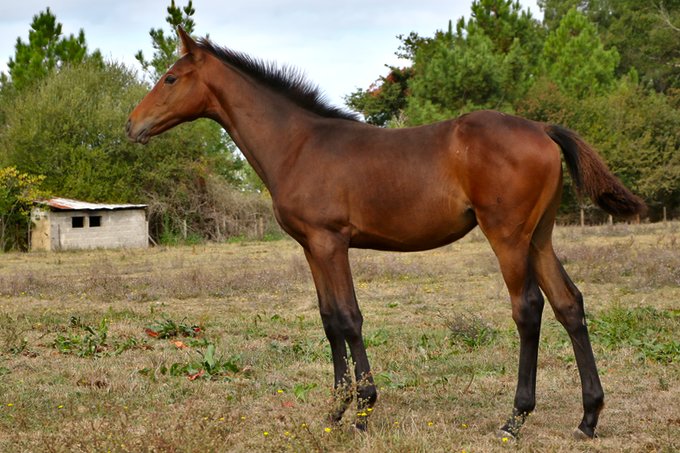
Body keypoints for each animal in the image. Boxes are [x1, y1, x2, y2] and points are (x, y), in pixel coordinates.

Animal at [127, 27, 646, 439]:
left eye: (171, 78)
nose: (132, 125)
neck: (298, 144)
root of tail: (541, 128)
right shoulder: (312, 247)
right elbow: (328, 319)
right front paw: (336, 410)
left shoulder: (331, 242)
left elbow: (349, 318)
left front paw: (362, 411)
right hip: (539, 238)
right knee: (569, 304)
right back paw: (588, 419)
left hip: (509, 238)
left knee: (529, 308)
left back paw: (514, 419)